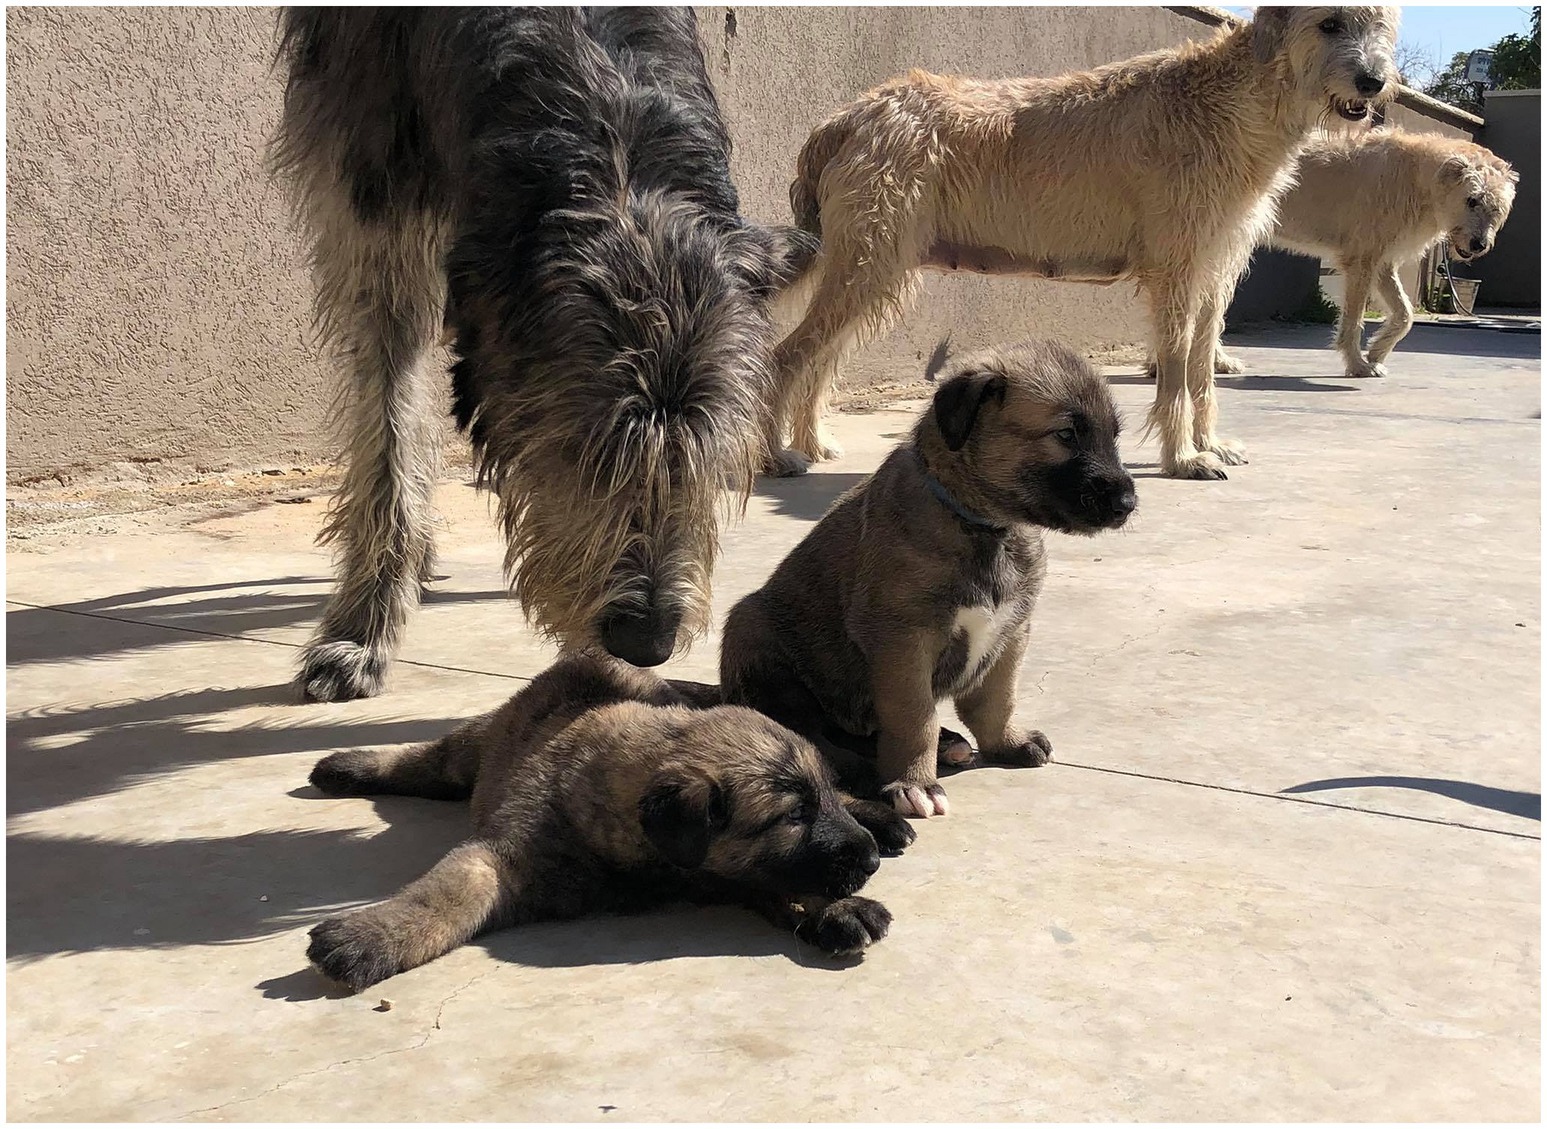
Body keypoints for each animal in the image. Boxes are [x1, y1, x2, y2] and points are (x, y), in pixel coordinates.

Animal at [270, 6, 816, 695]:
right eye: (579, 452)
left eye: (708, 460)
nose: (646, 642)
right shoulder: (373, 195)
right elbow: (388, 416)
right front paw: (361, 631)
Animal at [304, 649, 903, 983]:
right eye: (794, 815)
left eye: (814, 805)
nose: (870, 861)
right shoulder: (502, 857)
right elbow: (447, 895)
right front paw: (369, 937)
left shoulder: (723, 871)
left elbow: (786, 881)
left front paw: (840, 907)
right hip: (475, 745)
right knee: (426, 762)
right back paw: (347, 767)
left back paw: (885, 817)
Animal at [717, 338, 1132, 816]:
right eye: (1065, 435)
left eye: (1113, 436)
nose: (1127, 503)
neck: (981, 524)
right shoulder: (903, 638)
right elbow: (915, 717)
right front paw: (913, 781)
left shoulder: (1013, 630)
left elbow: (997, 699)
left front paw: (1006, 743)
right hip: (752, 629)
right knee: (810, 730)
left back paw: (950, 744)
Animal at [770, 5, 1404, 479]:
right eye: (1329, 22)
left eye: (1380, 23)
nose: (1374, 83)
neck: (1239, 99)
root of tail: (850, 115)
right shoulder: (1177, 269)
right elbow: (1177, 367)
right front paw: (1183, 458)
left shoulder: (1215, 268)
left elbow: (1203, 363)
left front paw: (1210, 444)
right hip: (870, 261)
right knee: (790, 356)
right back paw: (776, 456)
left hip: (871, 268)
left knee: (820, 358)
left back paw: (814, 442)